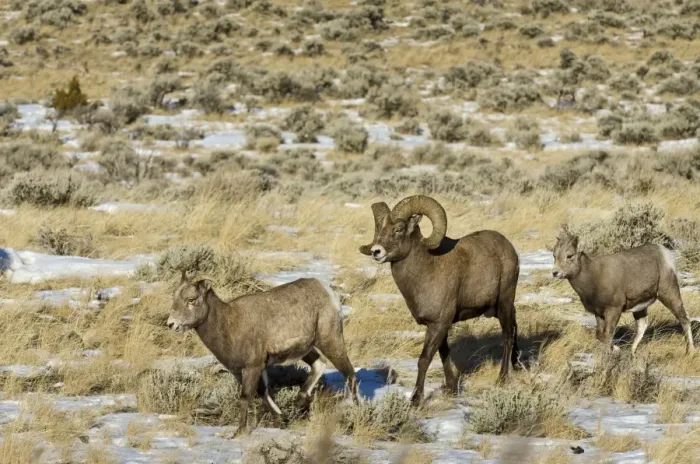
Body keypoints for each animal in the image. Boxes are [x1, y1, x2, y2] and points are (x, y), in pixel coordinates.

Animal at [167, 272, 358, 434]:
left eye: (191, 299)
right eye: (174, 299)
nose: (171, 324)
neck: (229, 325)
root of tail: (326, 290)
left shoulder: (252, 368)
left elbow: (245, 397)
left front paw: (239, 432)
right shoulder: (247, 370)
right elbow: (262, 393)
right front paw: (281, 420)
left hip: (330, 342)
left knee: (349, 373)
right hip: (308, 349)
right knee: (320, 365)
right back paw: (300, 402)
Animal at [359, 195, 520, 405]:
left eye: (399, 229)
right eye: (380, 229)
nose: (376, 252)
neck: (426, 271)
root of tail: (509, 248)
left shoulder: (438, 325)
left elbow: (424, 359)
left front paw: (416, 400)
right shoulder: (438, 326)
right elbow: (444, 354)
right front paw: (451, 388)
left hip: (504, 303)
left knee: (507, 335)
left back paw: (502, 378)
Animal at [553, 226, 696, 355]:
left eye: (569, 256)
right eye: (554, 255)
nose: (555, 273)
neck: (593, 278)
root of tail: (666, 254)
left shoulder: (614, 310)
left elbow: (607, 336)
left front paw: (613, 351)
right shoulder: (599, 313)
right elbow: (600, 335)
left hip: (669, 293)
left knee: (684, 319)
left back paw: (690, 351)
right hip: (641, 307)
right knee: (642, 327)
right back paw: (632, 353)